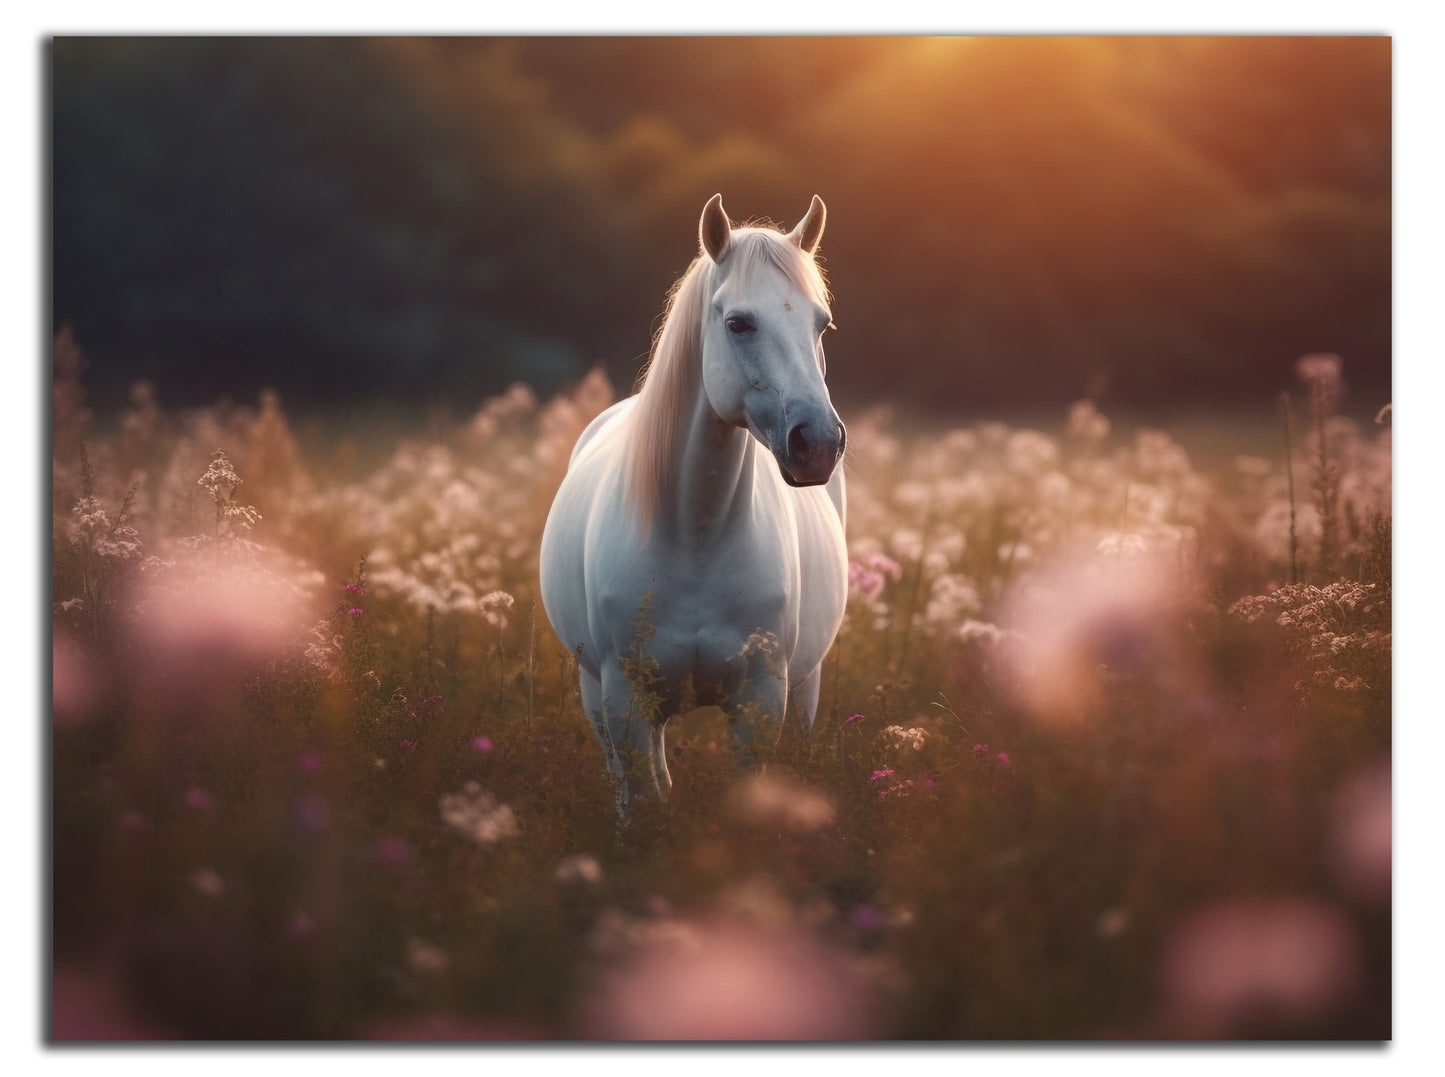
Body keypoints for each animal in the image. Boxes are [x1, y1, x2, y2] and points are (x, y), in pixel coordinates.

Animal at [539, 194, 849, 818]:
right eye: (738, 323)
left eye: (821, 324)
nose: (819, 444)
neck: (696, 533)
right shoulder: (626, 700)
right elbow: (646, 799)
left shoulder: (762, 701)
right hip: (596, 693)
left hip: (806, 684)